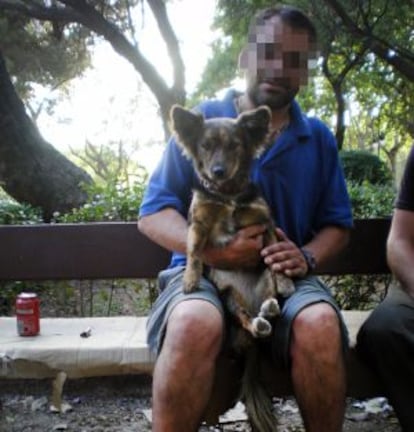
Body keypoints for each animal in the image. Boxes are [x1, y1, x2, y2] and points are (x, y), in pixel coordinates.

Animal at [169, 104, 294, 432]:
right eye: (206, 146)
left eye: (234, 146)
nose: (218, 171)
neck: (227, 194)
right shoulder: (198, 222)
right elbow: (194, 251)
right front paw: (190, 279)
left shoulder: (264, 220)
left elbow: (275, 250)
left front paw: (287, 280)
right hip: (228, 298)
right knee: (246, 319)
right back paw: (259, 321)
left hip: (263, 283)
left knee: (268, 298)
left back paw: (270, 308)